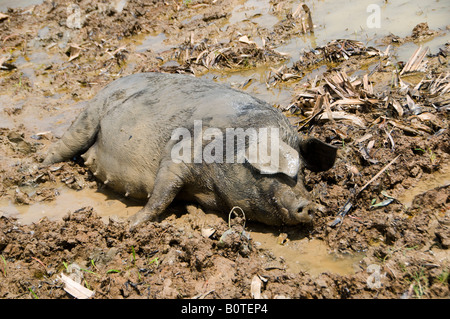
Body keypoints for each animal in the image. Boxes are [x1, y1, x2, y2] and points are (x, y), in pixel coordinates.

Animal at [43, 72, 338, 230]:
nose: (308, 205)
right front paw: (129, 225)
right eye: (269, 172)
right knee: (62, 146)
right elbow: (161, 195)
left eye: (303, 172)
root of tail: (108, 85)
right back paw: (38, 166)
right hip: (88, 117)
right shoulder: (178, 154)